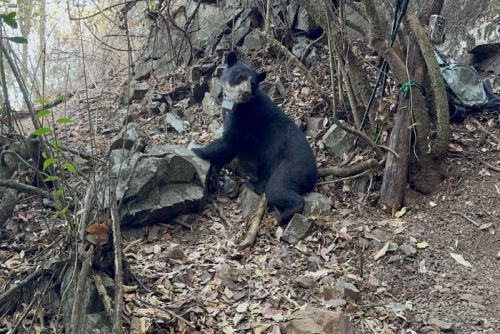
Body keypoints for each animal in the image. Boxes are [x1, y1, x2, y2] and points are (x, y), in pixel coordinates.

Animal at [191, 52, 316, 224]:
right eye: (240, 77)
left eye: (253, 83)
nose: (246, 93)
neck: (236, 104)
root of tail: (314, 172)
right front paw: (214, 175)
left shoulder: (244, 119)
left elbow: (229, 143)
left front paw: (196, 149)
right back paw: (252, 183)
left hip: (291, 167)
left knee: (276, 189)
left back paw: (286, 214)